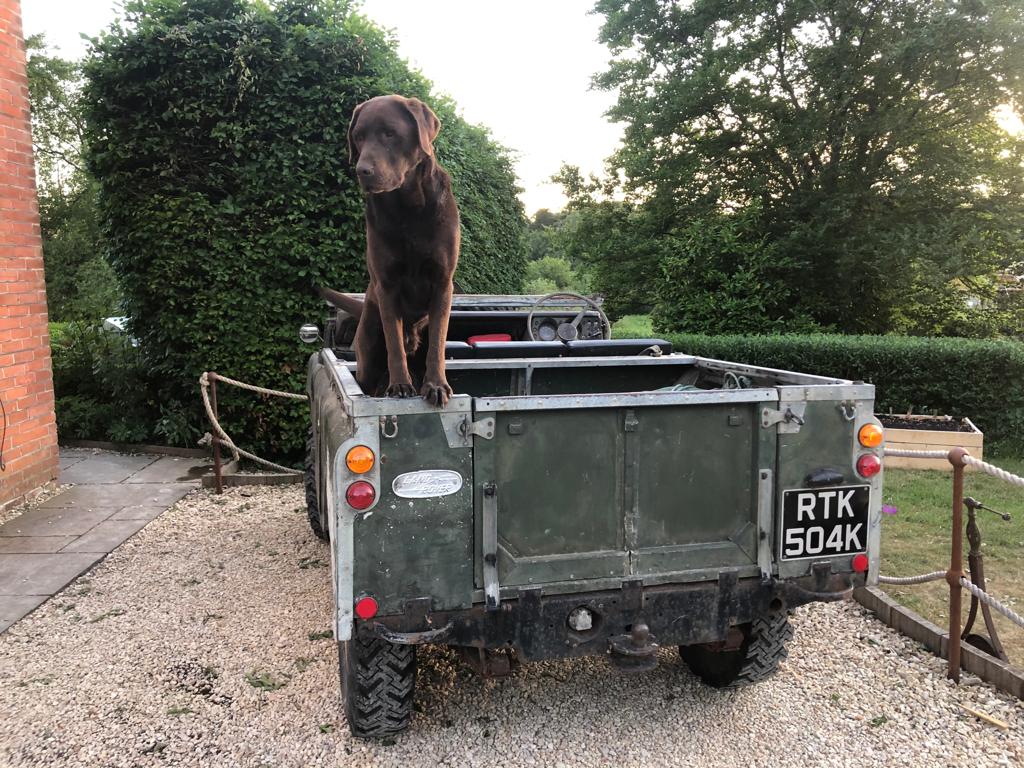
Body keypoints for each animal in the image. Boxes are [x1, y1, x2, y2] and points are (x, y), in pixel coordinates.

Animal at [320, 95, 459, 407]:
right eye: (358, 137)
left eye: (389, 133)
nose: (362, 171)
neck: (408, 208)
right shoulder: (386, 284)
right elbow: (394, 341)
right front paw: (399, 386)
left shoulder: (443, 282)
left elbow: (437, 344)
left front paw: (436, 385)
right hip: (369, 350)